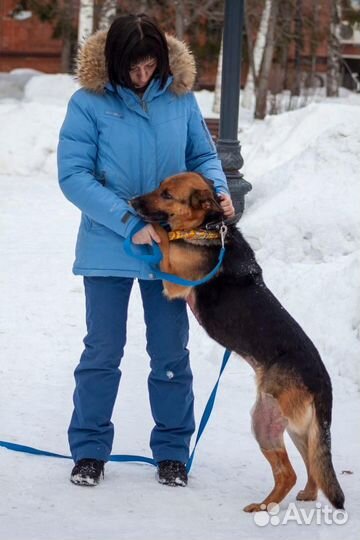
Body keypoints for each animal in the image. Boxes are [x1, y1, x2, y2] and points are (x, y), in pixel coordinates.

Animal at [131, 172, 344, 510]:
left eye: (167, 195)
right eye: (159, 187)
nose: (132, 201)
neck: (208, 227)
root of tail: (323, 382)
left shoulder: (173, 280)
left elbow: (164, 237)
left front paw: (153, 230)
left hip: (264, 421)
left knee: (288, 473)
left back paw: (264, 506)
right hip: (297, 427)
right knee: (312, 464)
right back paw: (307, 494)